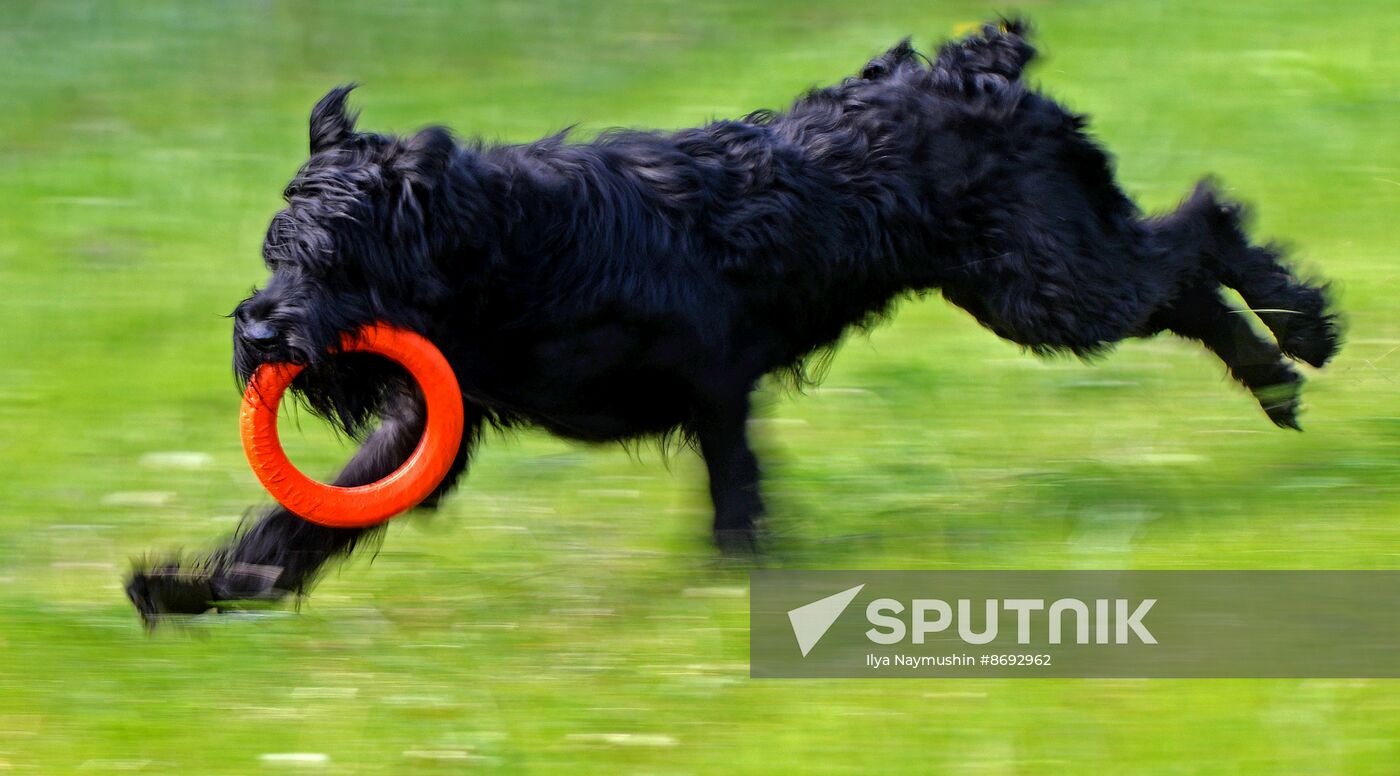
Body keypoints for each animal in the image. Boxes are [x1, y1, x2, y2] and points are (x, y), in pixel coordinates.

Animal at [128, 21, 1332, 619]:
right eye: (273, 249)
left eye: (332, 256)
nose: (261, 334)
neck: (508, 246)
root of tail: (973, 63)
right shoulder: (431, 418)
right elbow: (304, 519)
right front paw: (197, 587)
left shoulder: (710, 380)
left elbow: (735, 487)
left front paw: (744, 575)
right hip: (1034, 276)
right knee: (1178, 271)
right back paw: (1275, 369)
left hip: (1043, 283)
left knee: (1199, 229)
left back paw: (1298, 339)